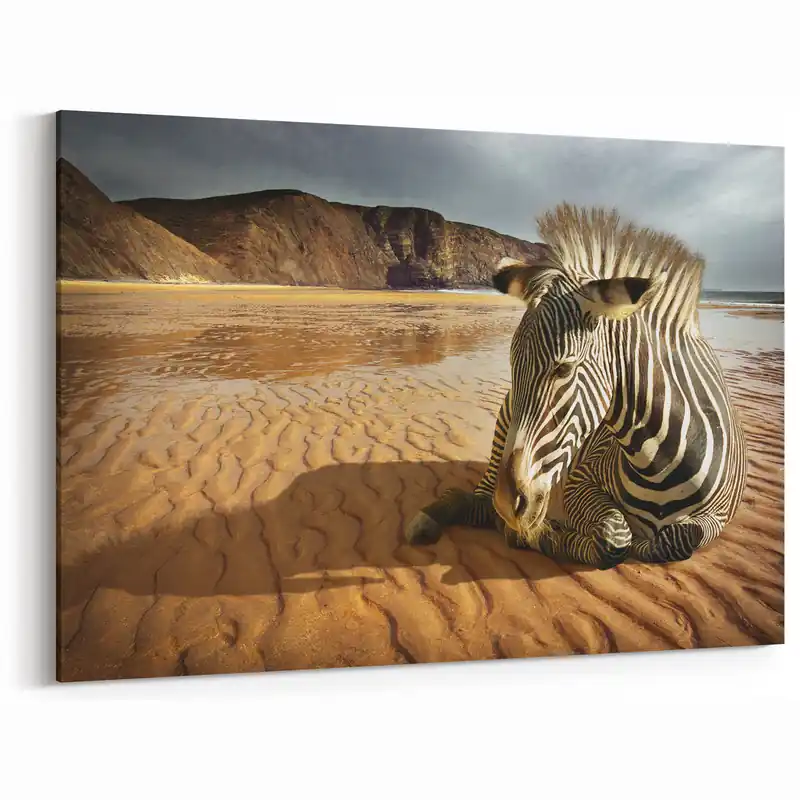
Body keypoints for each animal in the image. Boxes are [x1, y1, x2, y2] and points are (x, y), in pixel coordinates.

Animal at [405, 203, 748, 568]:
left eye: (564, 369)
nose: (509, 504)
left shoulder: (719, 516)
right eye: (513, 366)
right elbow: (615, 537)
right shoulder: (579, 481)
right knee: (479, 501)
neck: (660, 462)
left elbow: (677, 539)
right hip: (504, 427)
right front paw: (541, 535)